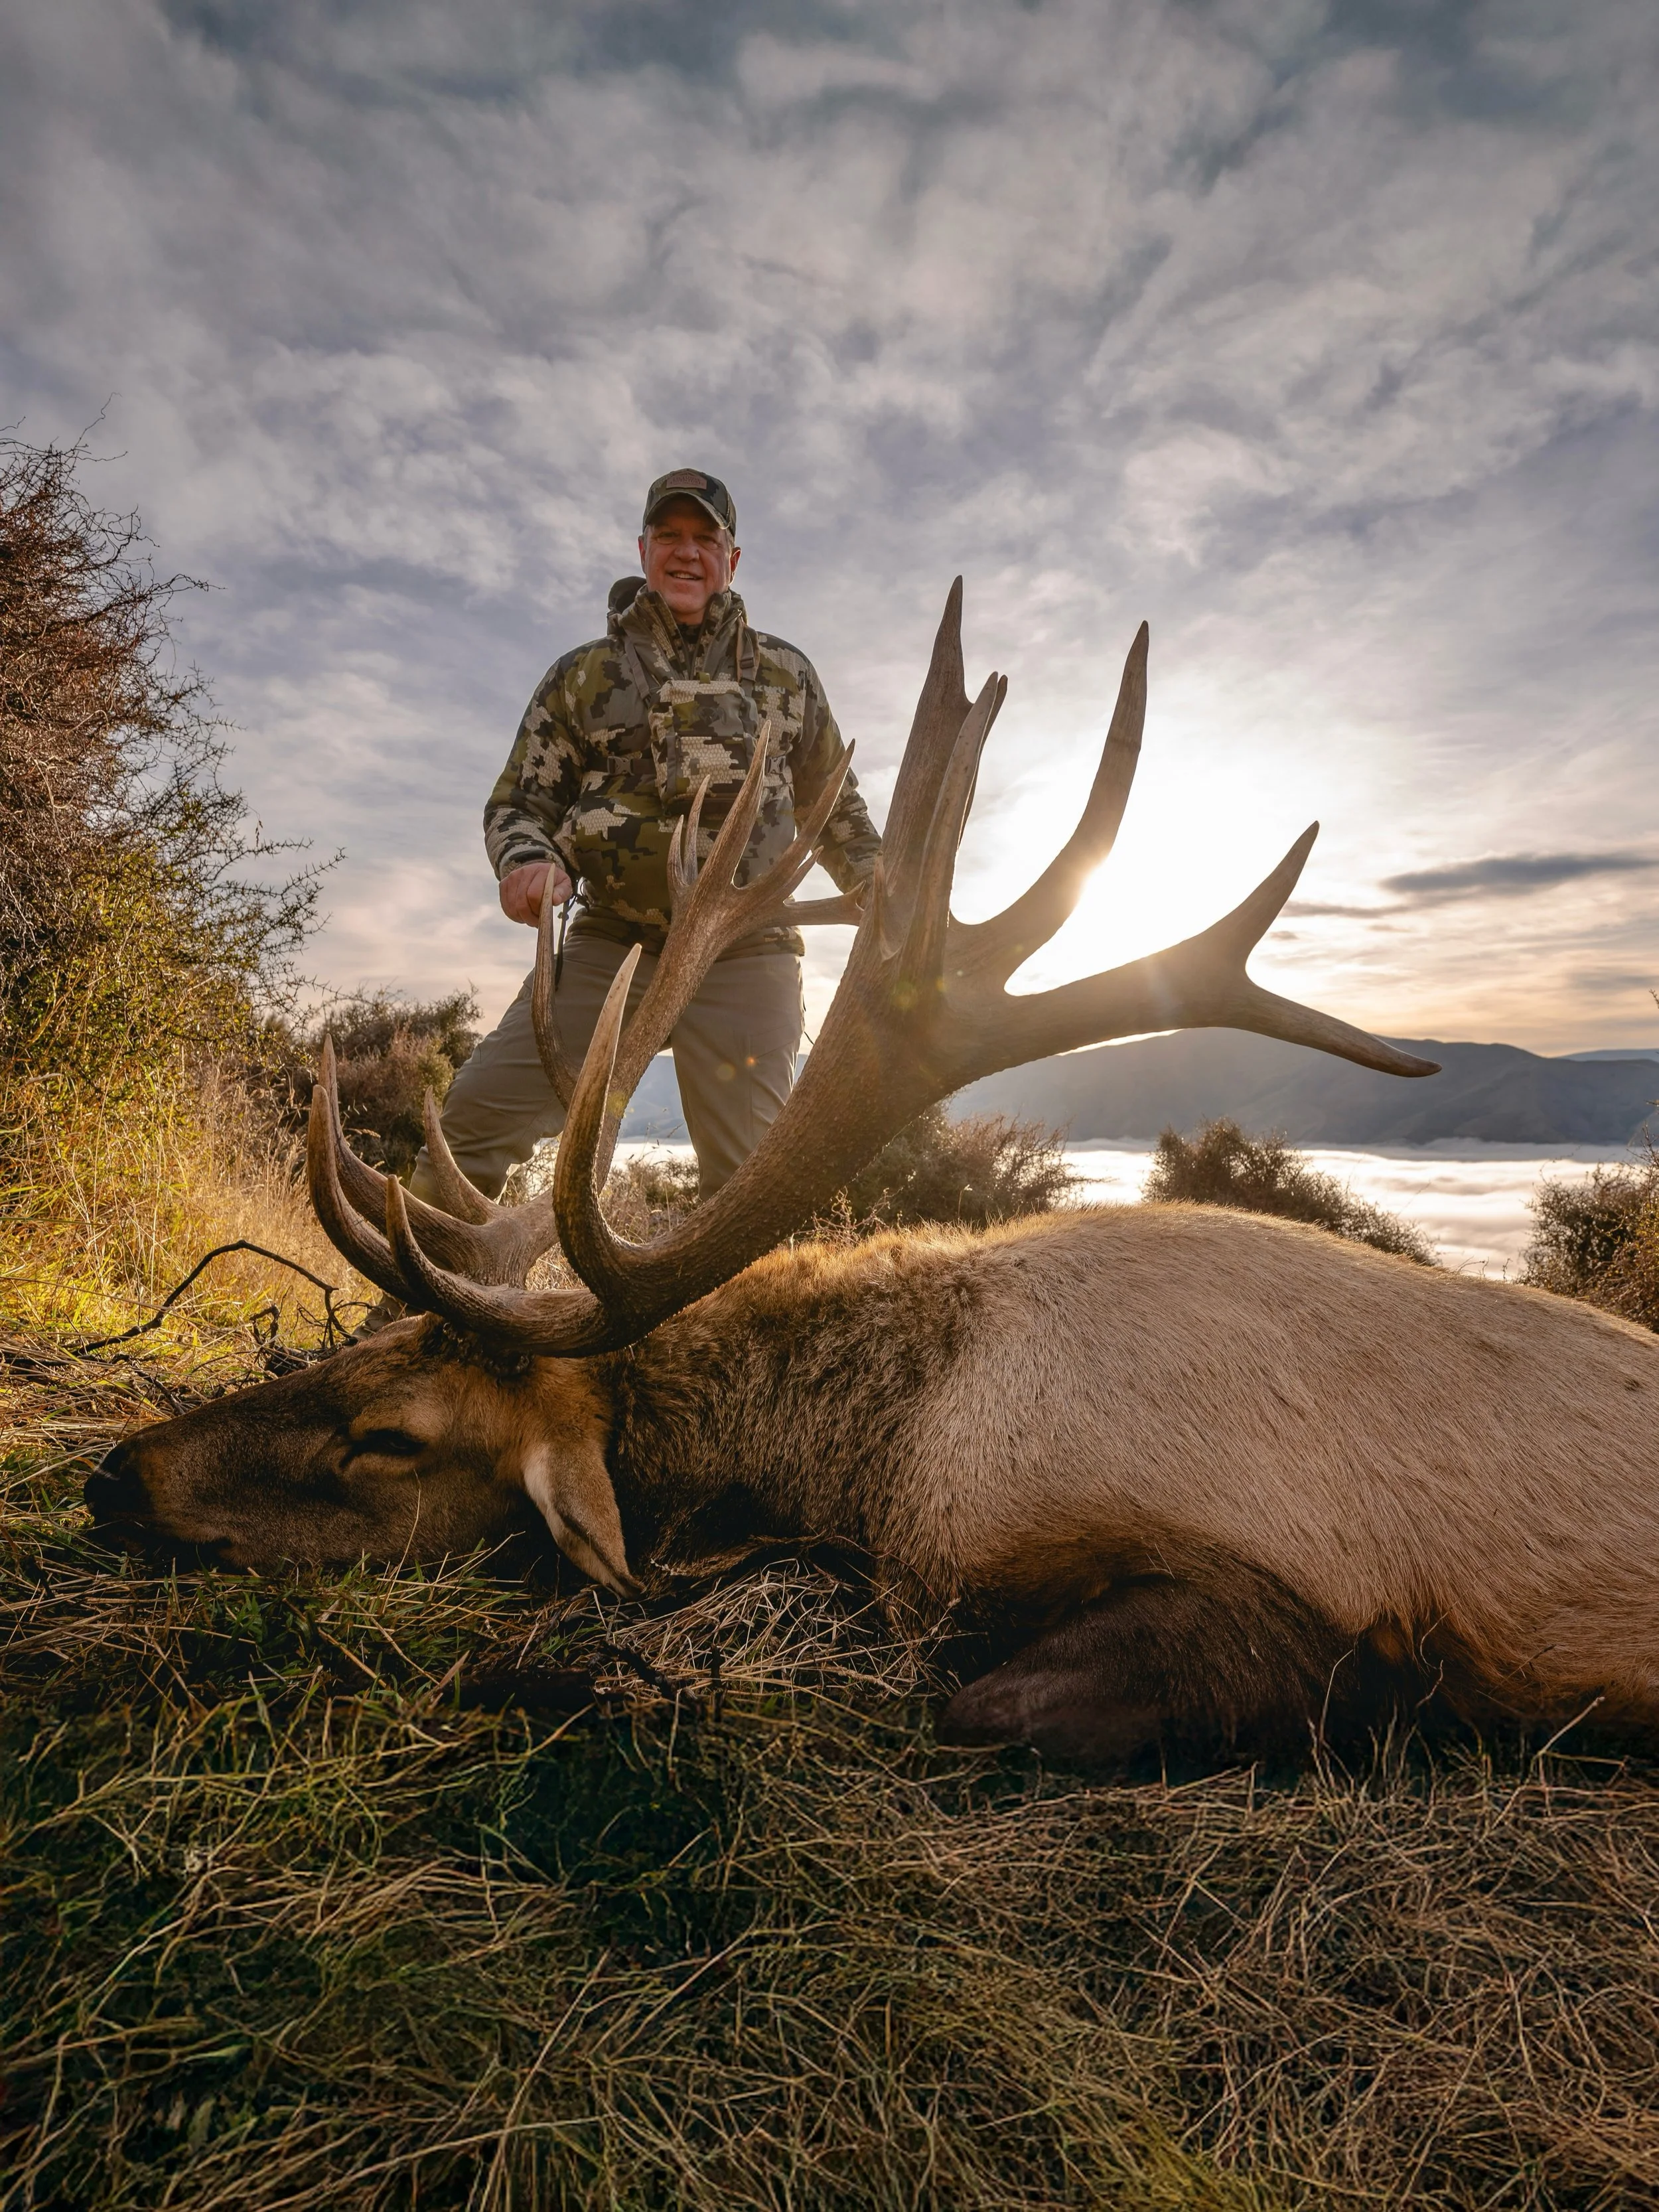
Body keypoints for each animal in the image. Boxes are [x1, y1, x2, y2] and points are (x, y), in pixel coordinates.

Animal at [86, 585, 1659, 1764]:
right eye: (354, 1346)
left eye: (391, 1436)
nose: (115, 1474)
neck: (888, 1447)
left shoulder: (1295, 1592)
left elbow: (964, 1696)